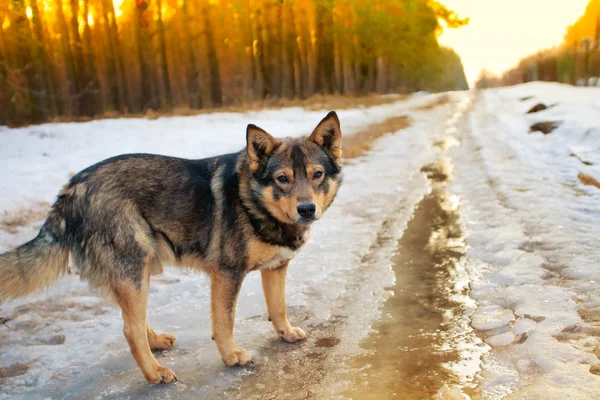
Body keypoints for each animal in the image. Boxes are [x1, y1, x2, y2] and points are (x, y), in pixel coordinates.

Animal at [0, 111, 342, 382]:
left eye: (317, 175)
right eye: (283, 179)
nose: (307, 209)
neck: (254, 201)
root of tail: (71, 189)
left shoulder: (275, 268)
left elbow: (278, 307)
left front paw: (286, 332)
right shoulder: (227, 274)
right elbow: (225, 321)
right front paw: (231, 356)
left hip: (137, 273)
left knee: (133, 321)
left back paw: (156, 344)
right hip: (135, 269)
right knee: (130, 330)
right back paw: (154, 373)